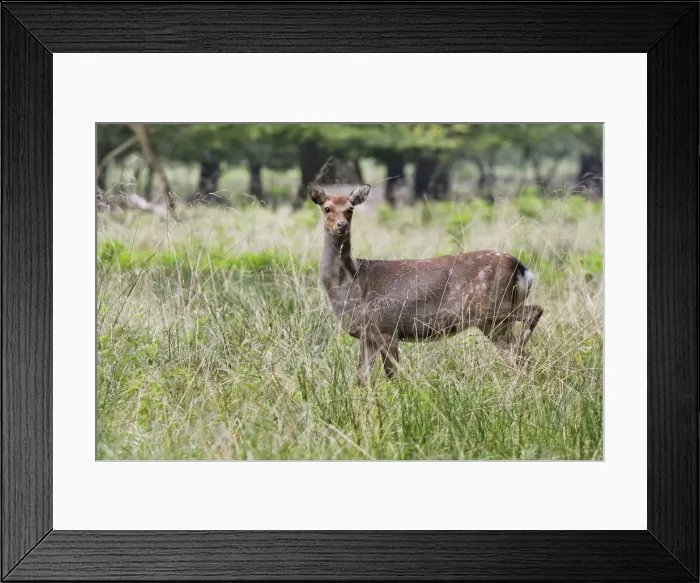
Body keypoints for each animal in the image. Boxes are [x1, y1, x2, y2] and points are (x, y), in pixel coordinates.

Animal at [308, 182, 543, 384]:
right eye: (327, 208)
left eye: (350, 209)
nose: (342, 225)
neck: (351, 285)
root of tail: (524, 271)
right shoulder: (367, 335)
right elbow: (361, 380)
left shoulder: (387, 327)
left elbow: (392, 376)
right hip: (493, 323)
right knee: (523, 357)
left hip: (493, 308)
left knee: (534, 313)